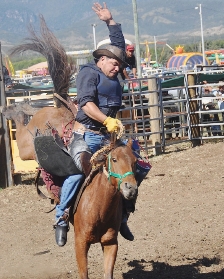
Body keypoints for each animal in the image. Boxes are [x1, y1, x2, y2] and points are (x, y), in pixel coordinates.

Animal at [74, 140, 136, 279]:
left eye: (135, 161)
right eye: (114, 159)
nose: (131, 189)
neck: (98, 211)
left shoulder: (110, 243)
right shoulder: (80, 244)